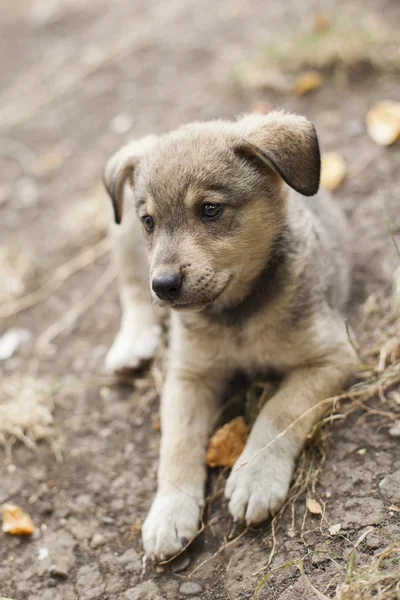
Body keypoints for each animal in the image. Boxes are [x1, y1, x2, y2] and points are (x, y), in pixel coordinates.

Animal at [103, 111, 356, 564]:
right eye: (150, 221)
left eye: (210, 209)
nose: (163, 286)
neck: (236, 315)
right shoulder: (187, 375)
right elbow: (177, 444)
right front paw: (169, 511)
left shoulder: (333, 355)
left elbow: (279, 409)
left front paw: (255, 475)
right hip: (122, 237)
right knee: (131, 286)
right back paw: (132, 343)